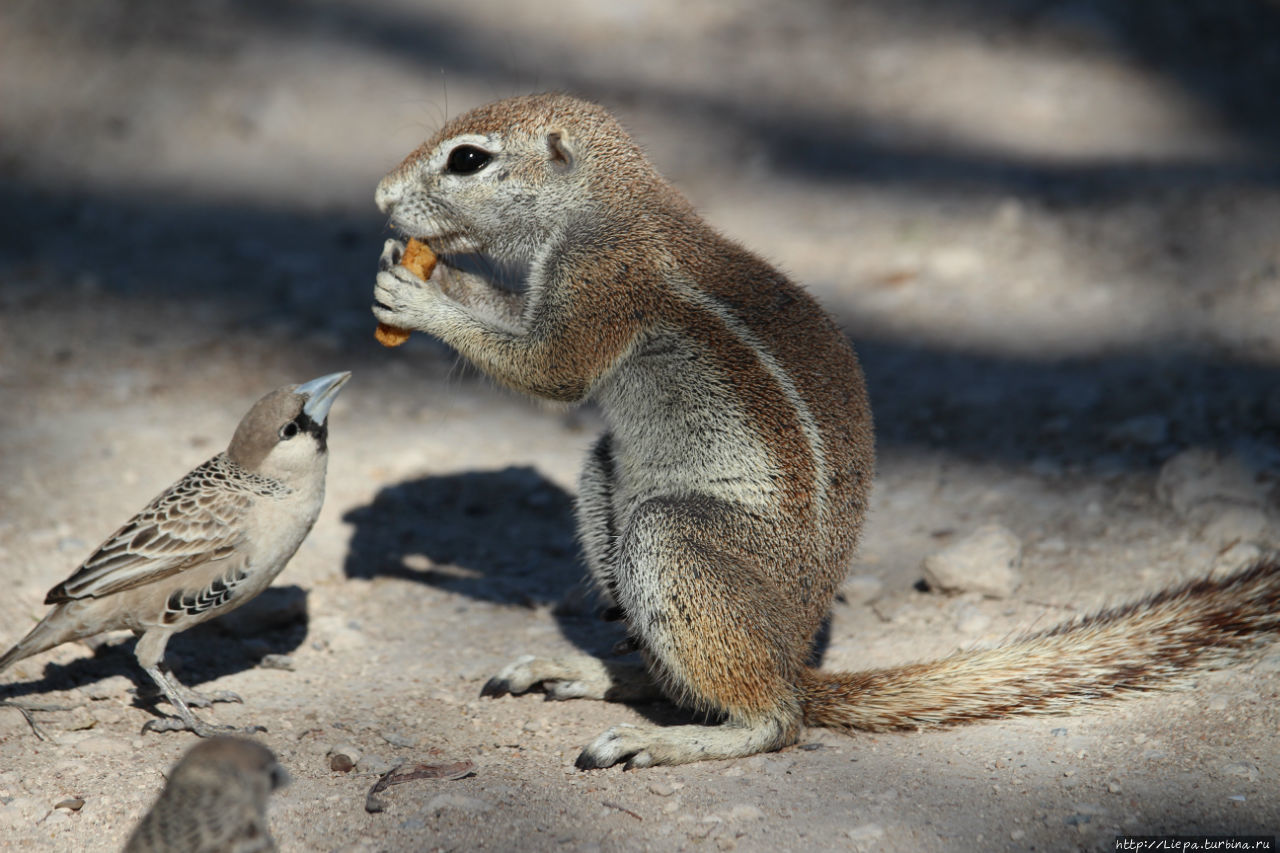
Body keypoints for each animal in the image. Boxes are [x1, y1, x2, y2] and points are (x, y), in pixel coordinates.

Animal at [371, 91, 1280, 763]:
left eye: (468, 159)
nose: (379, 197)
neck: (599, 204)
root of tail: (791, 651)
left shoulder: (601, 283)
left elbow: (550, 369)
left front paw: (421, 299)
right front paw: (424, 276)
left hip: (673, 536)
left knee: (774, 718)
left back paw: (675, 740)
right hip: (607, 485)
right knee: (669, 670)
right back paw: (589, 671)